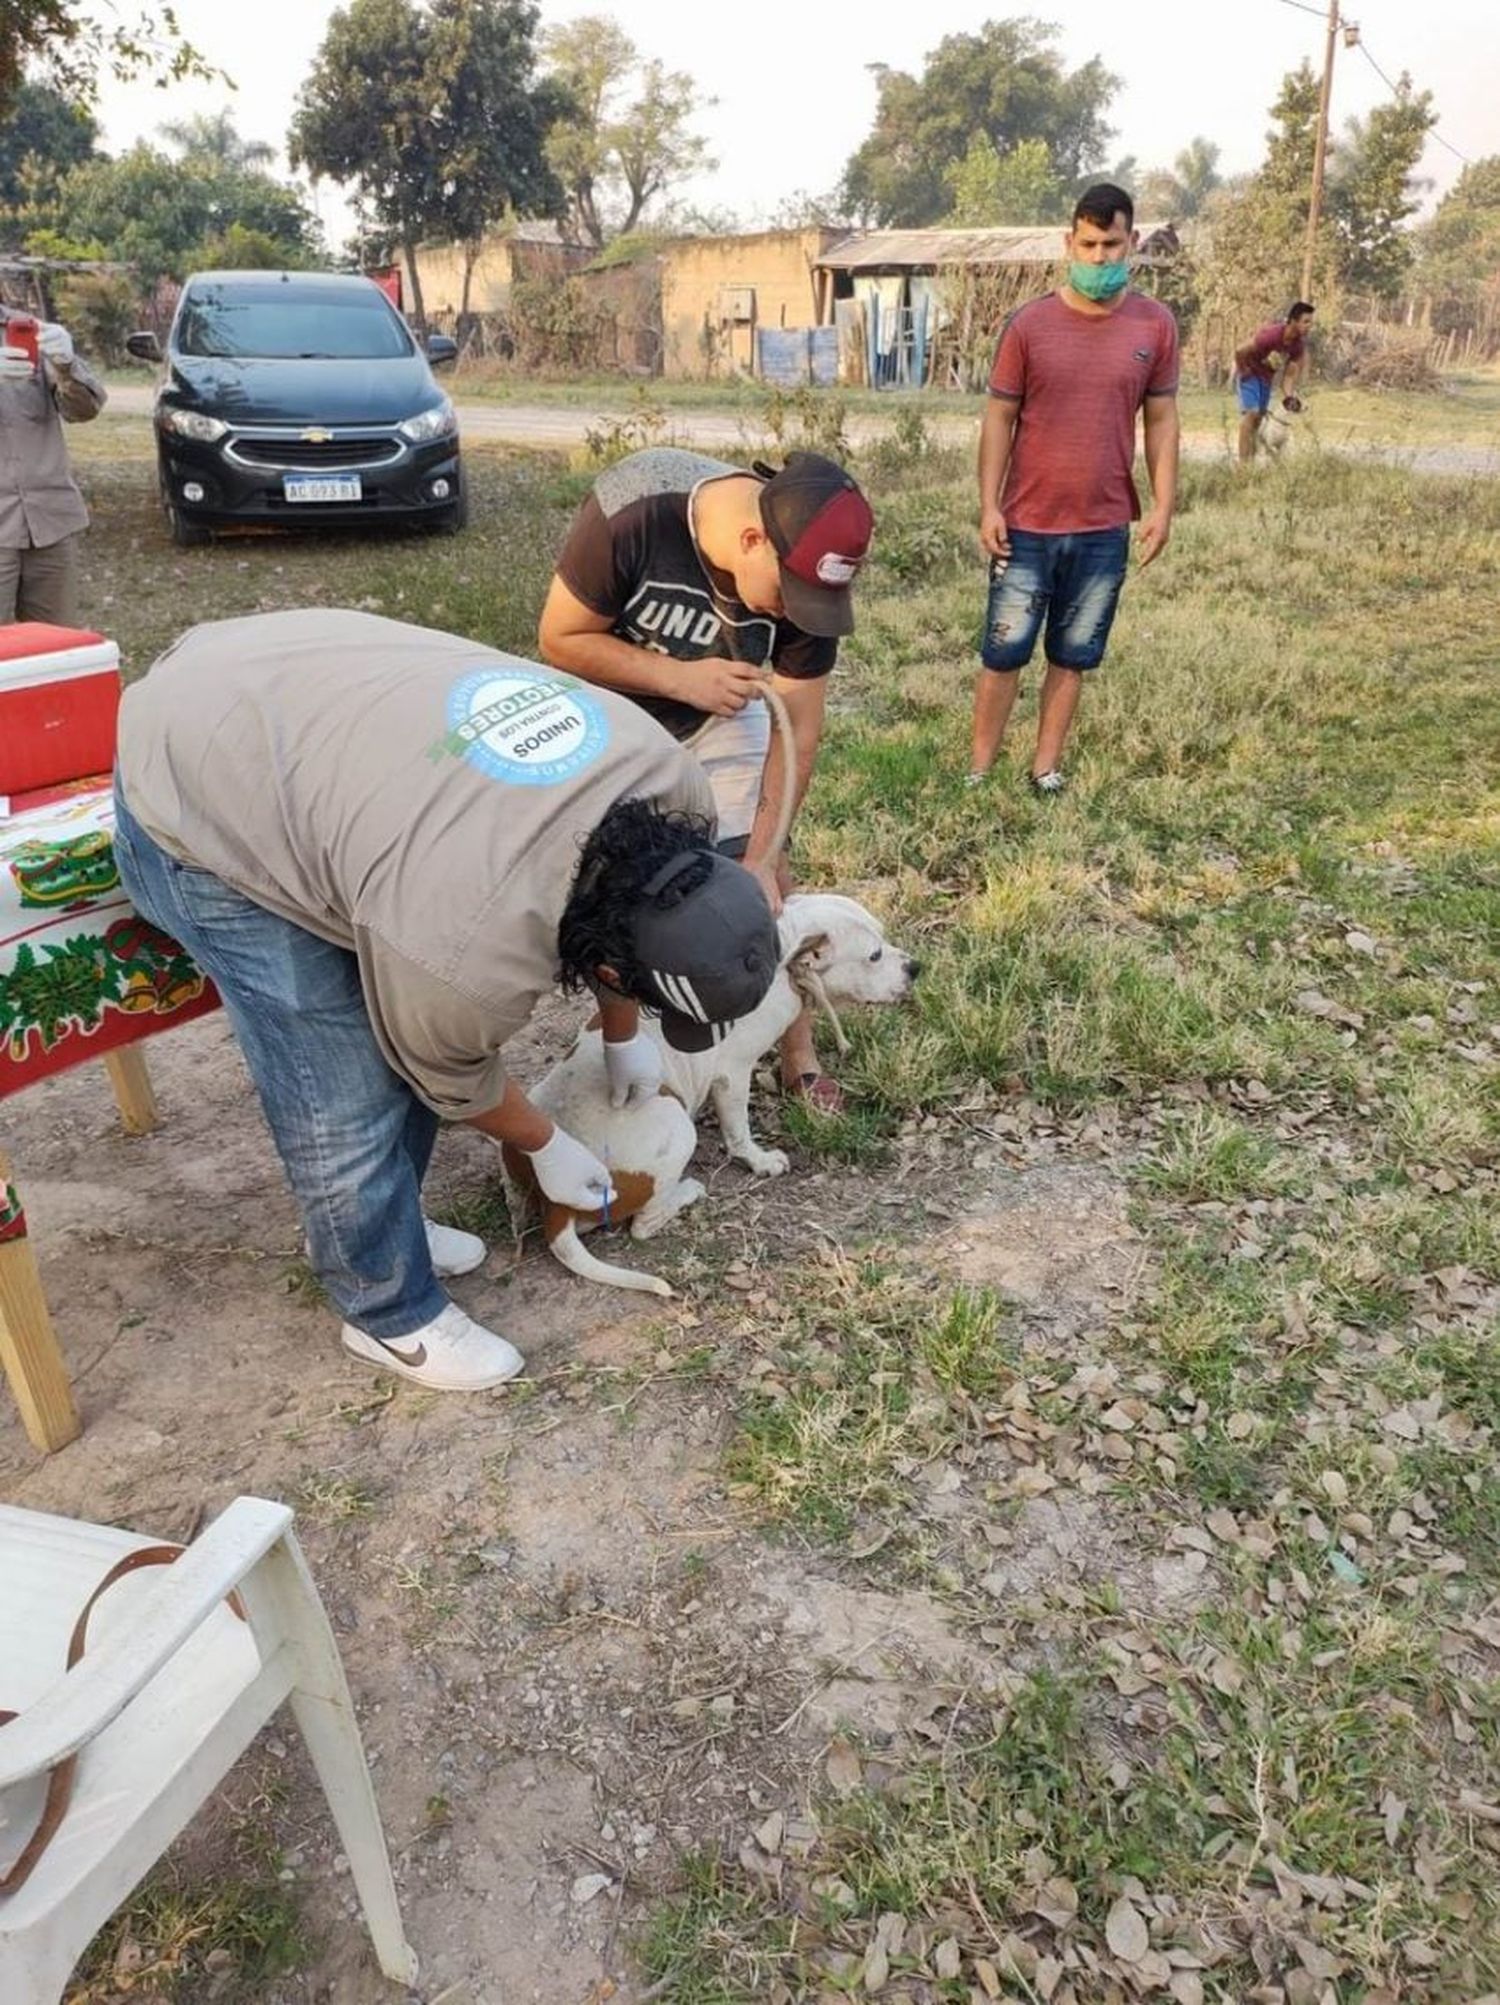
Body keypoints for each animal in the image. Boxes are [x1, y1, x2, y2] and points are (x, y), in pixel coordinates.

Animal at [503, 886, 918, 1291]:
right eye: (874, 956)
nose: (916, 967)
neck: (783, 956)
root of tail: (556, 1205)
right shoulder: (733, 1074)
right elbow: (739, 1130)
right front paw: (758, 1159)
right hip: (674, 1128)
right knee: (643, 1224)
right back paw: (686, 1192)